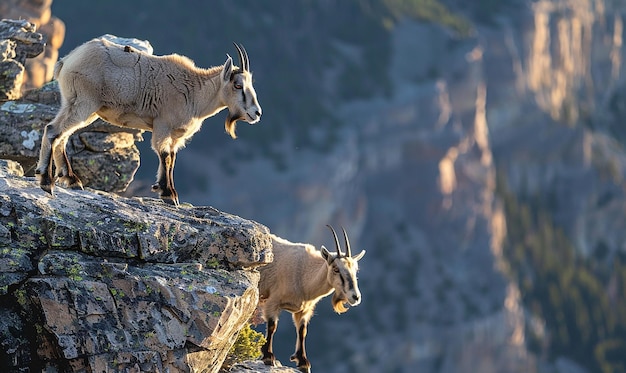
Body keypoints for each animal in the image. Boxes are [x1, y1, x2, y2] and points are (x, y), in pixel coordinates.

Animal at [35, 36, 260, 205]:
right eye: (238, 85)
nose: (256, 113)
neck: (194, 91)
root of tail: (66, 61)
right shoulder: (163, 125)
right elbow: (165, 155)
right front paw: (169, 194)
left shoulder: (175, 135)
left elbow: (172, 159)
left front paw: (164, 189)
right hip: (84, 103)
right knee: (53, 130)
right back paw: (46, 181)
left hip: (80, 106)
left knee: (62, 136)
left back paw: (71, 179)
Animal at [258, 225, 366, 370]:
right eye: (336, 269)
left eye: (356, 270)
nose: (355, 297)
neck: (304, 274)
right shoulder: (273, 302)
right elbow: (272, 326)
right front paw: (268, 357)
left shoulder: (304, 310)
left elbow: (302, 331)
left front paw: (303, 362)